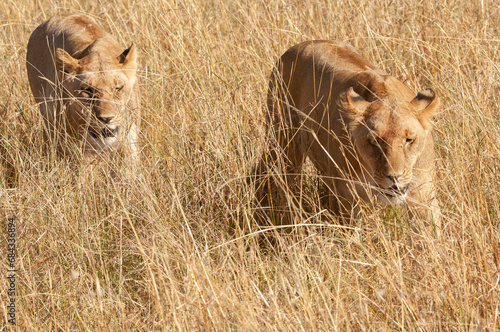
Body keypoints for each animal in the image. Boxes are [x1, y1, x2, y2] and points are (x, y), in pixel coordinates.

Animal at [258, 40, 442, 228]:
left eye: (409, 140)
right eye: (373, 141)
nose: (394, 177)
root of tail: (302, 44)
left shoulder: (422, 193)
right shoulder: (347, 195)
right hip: (284, 144)